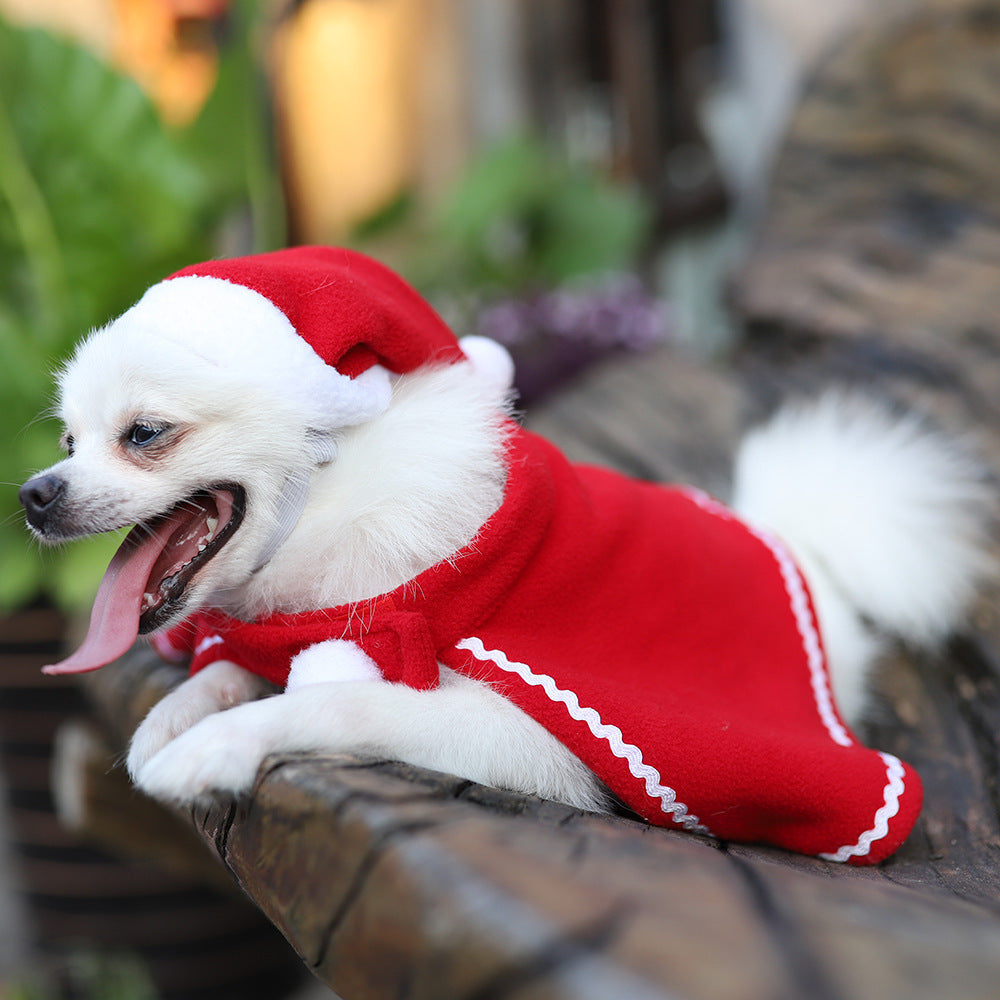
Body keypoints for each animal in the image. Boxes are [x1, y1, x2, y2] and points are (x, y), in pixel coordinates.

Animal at [19, 248, 996, 860]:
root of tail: (807, 555)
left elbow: (337, 705)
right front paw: (173, 722)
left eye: (145, 434)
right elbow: (217, 672)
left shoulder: (531, 733)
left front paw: (217, 746)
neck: (336, 512)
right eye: (67, 440)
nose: (34, 492)